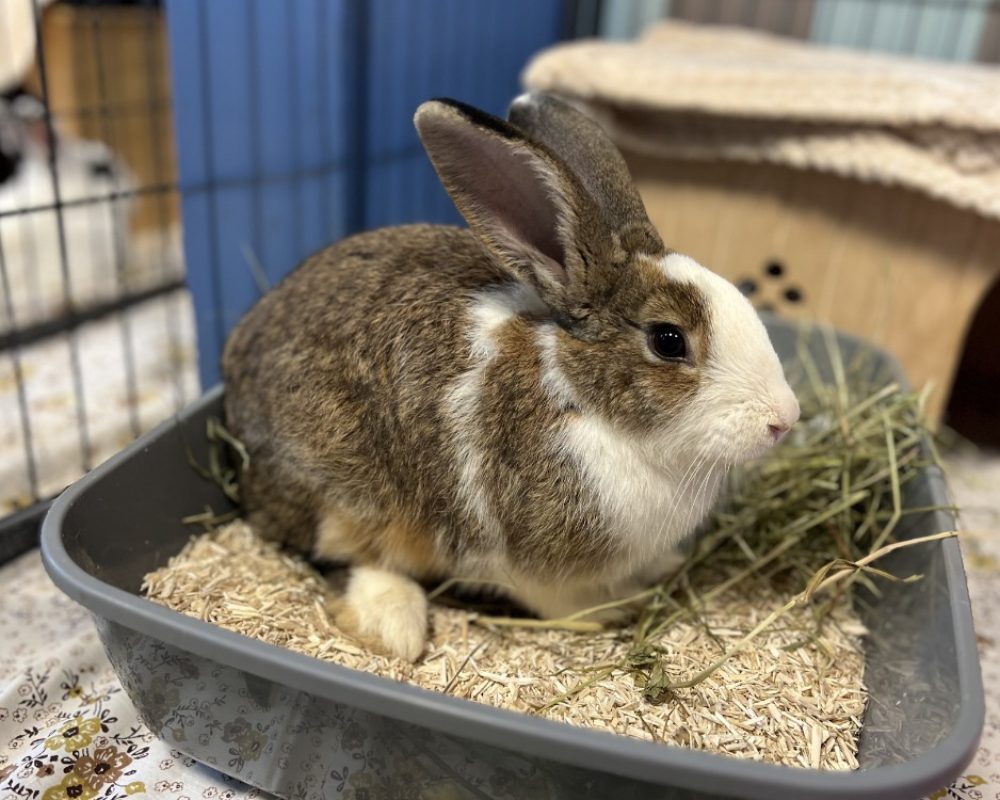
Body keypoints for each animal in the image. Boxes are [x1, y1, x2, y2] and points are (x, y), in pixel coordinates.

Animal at [222, 93, 800, 662]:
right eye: (668, 340)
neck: (582, 400)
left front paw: (662, 569)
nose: (784, 419)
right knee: (347, 557)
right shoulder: (521, 560)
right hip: (342, 497)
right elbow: (556, 601)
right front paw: (613, 609)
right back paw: (395, 625)